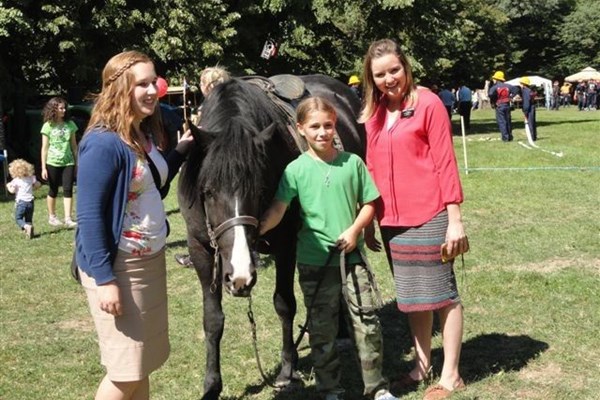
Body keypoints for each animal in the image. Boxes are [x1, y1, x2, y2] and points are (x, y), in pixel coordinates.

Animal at [178, 76, 364, 400]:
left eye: (259, 188)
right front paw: (211, 385)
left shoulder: (286, 245)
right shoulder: (200, 249)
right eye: (208, 191)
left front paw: (288, 369)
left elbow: (284, 304)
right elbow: (212, 319)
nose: (240, 276)